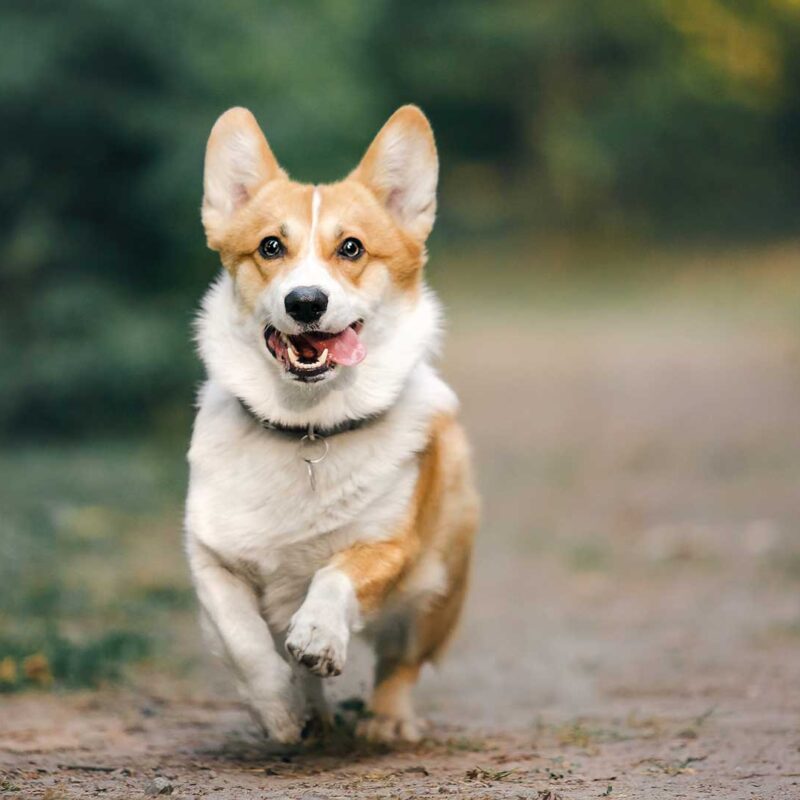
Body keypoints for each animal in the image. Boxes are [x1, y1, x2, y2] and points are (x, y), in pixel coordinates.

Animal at [184, 104, 478, 744]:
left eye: (351, 248)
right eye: (271, 246)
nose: (305, 302)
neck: (308, 427)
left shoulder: (388, 545)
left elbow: (335, 577)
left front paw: (318, 634)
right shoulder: (211, 559)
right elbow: (243, 639)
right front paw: (278, 709)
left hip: (436, 587)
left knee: (401, 662)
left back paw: (387, 721)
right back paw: (310, 713)